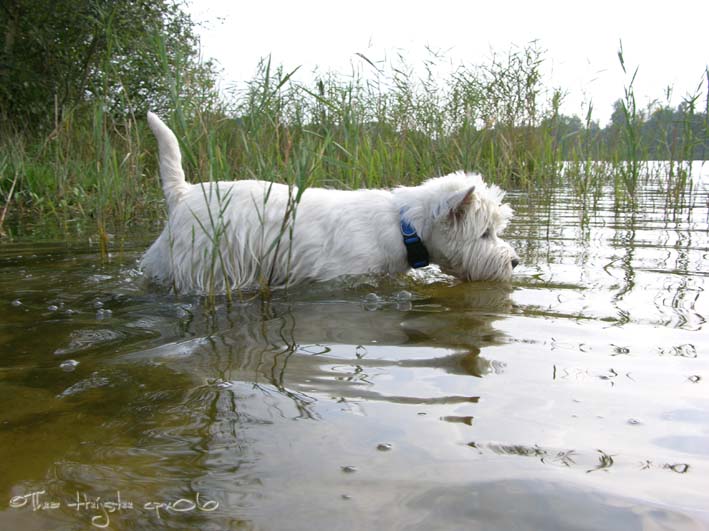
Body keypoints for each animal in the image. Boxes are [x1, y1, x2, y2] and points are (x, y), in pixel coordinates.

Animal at [141, 113, 516, 296]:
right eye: (485, 233)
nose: (514, 261)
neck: (404, 226)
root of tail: (183, 193)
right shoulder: (340, 274)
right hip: (200, 266)